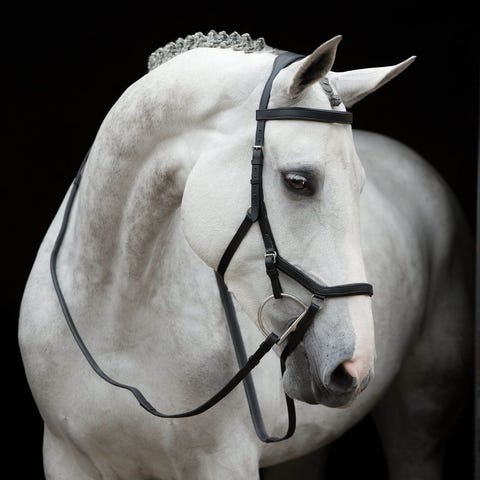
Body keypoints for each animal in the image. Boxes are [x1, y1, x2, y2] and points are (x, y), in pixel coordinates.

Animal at [19, 31, 472, 479]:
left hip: (419, 419)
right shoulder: (64, 458)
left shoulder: (222, 462)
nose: (354, 366)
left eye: (360, 186)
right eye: (298, 181)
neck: (117, 327)